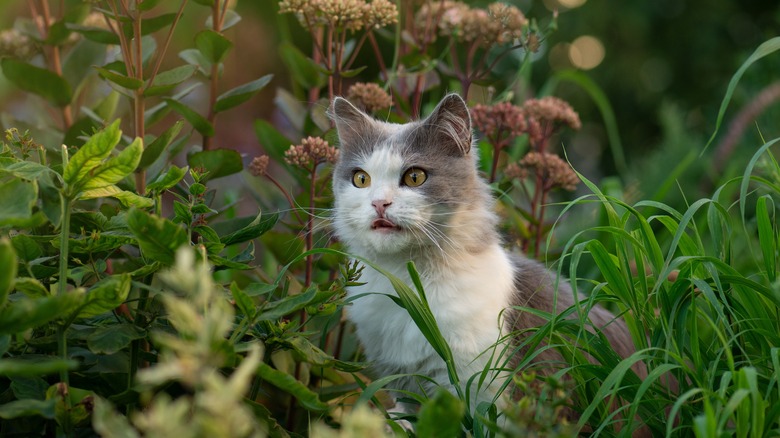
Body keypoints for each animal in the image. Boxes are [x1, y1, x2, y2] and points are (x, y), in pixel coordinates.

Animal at [330, 94, 640, 422]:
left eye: (415, 177)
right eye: (361, 179)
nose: (379, 203)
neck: (405, 281)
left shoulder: (483, 391)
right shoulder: (404, 387)